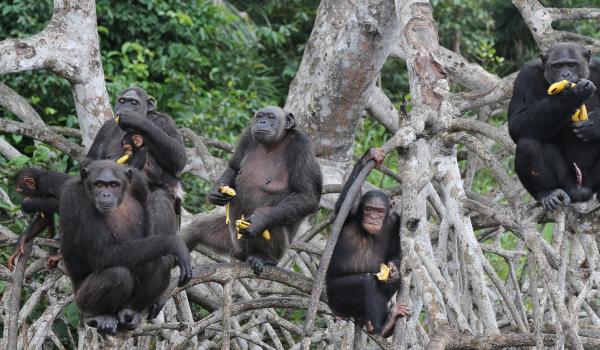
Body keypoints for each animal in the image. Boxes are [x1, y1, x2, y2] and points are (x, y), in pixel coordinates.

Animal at [59, 161, 192, 334]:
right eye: (99, 184)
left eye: (113, 185)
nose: (106, 194)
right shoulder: (76, 198)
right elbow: (101, 254)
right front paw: (175, 244)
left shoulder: (139, 183)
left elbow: (149, 230)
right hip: (80, 299)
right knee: (117, 274)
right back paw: (96, 316)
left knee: (161, 261)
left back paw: (130, 310)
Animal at [85, 86, 186, 232]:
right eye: (122, 101)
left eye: (133, 102)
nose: (125, 108)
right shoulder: (105, 129)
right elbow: (91, 159)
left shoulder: (166, 122)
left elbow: (179, 157)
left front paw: (136, 119)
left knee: (159, 198)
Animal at [182, 105, 324, 274]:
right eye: (260, 116)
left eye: (271, 117)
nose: (262, 122)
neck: (275, 143)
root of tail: (240, 255)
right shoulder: (247, 136)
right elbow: (234, 167)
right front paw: (216, 193)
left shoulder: (302, 147)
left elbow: (306, 196)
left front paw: (259, 220)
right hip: (231, 241)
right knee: (197, 229)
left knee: (272, 225)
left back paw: (263, 257)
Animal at [326, 148, 410, 340]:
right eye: (369, 209)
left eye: (379, 211)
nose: (372, 218)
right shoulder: (351, 214)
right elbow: (343, 207)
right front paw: (368, 157)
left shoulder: (396, 221)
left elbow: (396, 252)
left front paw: (393, 270)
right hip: (336, 299)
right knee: (366, 282)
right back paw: (383, 327)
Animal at [506, 42, 600, 209]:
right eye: (557, 66)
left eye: (572, 64)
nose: (565, 74)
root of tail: (581, 191)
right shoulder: (526, 76)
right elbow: (516, 122)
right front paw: (572, 96)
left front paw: (594, 124)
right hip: (567, 183)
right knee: (528, 144)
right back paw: (548, 193)